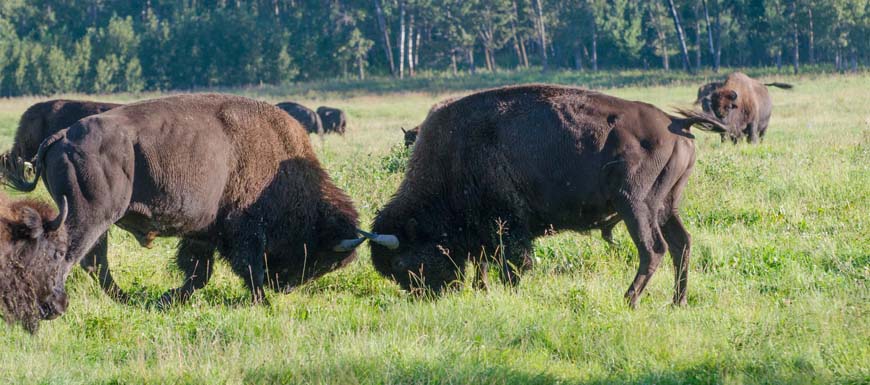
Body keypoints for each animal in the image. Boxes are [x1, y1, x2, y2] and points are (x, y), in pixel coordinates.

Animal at [13, 93, 368, 304]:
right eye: (321, 258)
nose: (285, 288)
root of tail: (60, 136)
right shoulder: (245, 232)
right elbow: (246, 268)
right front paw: (261, 301)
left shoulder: (205, 233)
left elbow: (199, 272)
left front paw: (170, 298)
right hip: (91, 218)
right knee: (74, 257)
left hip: (97, 222)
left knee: (94, 261)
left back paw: (126, 298)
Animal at [368, 83, 728, 306]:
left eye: (401, 261)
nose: (424, 295)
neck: (453, 153)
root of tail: (675, 123)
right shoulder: (486, 229)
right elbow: (483, 261)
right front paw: (482, 289)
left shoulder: (507, 227)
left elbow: (511, 265)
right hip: (667, 206)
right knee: (682, 244)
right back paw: (677, 302)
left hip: (636, 205)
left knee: (654, 250)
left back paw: (629, 300)